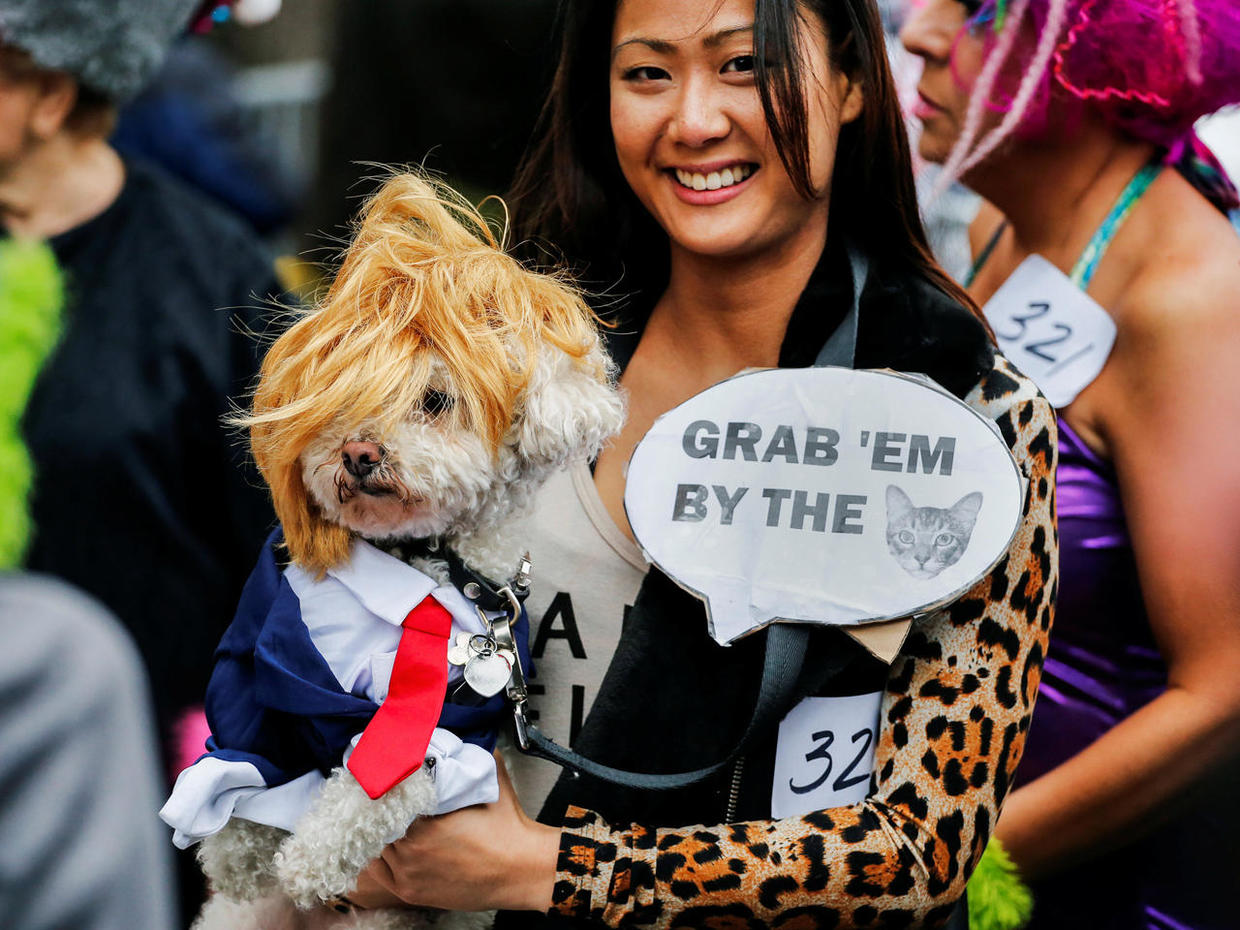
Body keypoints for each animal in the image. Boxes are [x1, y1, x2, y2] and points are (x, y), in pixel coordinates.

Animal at [161, 176, 624, 930]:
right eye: (342, 402)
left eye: (434, 400)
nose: (357, 453)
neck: (415, 561)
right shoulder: (260, 660)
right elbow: (244, 745)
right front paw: (233, 850)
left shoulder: (451, 724)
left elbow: (384, 780)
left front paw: (311, 857)